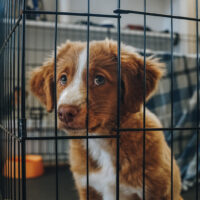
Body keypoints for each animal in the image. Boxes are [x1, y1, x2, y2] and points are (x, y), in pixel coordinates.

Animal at [30, 39, 183, 200]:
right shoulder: (87, 187)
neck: (100, 140)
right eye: (63, 78)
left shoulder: (158, 191)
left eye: (99, 79)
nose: (65, 113)